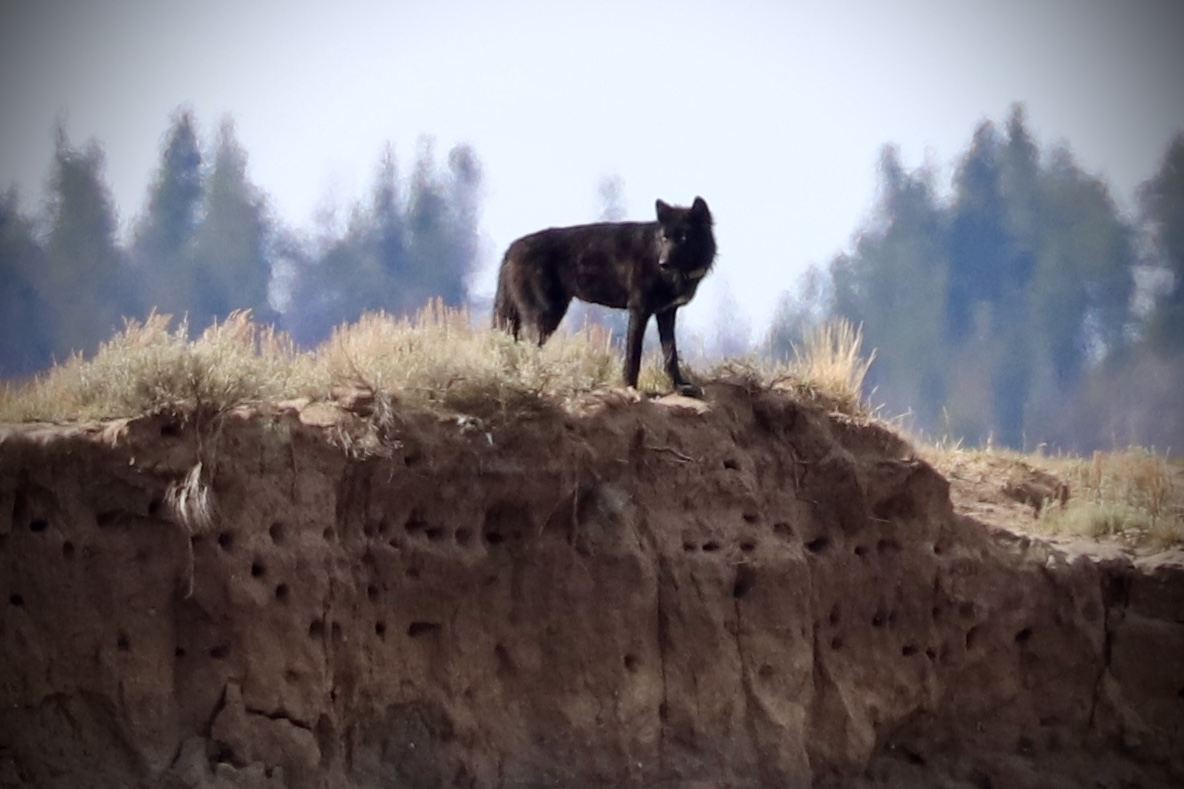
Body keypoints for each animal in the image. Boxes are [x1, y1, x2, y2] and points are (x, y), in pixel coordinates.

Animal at [493, 197, 716, 392]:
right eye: (665, 237)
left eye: (684, 237)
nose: (663, 263)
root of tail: (510, 249)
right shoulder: (639, 310)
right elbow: (634, 355)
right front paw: (630, 388)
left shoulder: (666, 313)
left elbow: (670, 355)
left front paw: (681, 387)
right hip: (545, 316)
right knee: (526, 347)